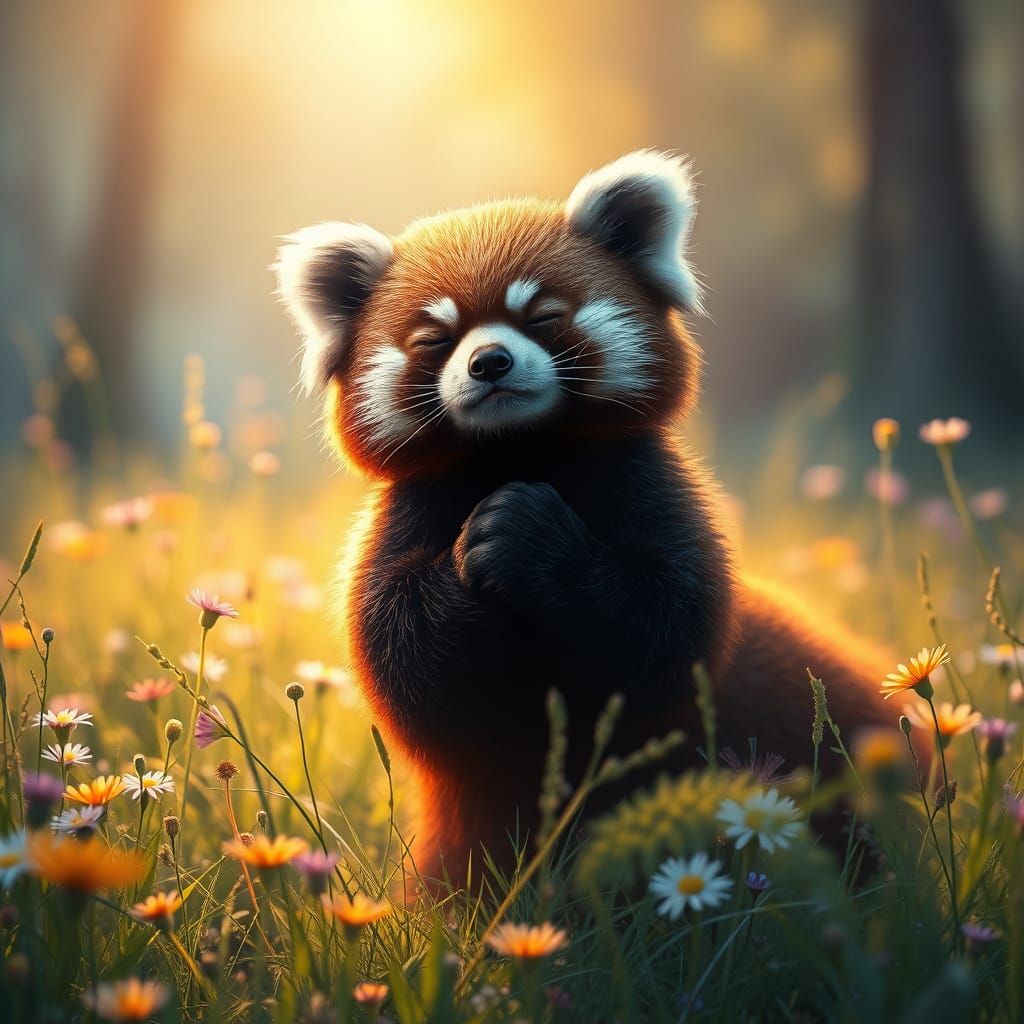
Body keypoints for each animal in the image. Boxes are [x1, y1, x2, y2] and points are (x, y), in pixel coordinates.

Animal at [275, 151, 917, 884]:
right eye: (436, 338)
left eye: (543, 316)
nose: (489, 361)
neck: (517, 451)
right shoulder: (406, 516)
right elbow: (408, 659)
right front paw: (472, 556)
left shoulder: (648, 487)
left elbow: (661, 631)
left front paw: (522, 532)